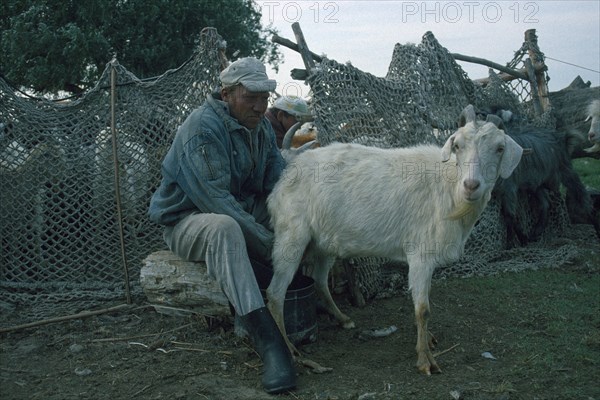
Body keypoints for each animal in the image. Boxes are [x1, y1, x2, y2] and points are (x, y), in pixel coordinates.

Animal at [268, 105, 524, 376]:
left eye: (500, 148)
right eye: (457, 146)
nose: (471, 185)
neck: (448, 186)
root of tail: (288, 170)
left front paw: (428, 340)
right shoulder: (420, 254)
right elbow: (423, 309)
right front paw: (425, 360)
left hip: (323, 243)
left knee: (318, 280)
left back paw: (343, 319)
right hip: (291, 235)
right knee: (275, 293)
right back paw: (291, 350)